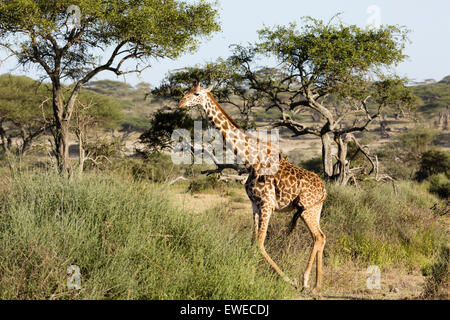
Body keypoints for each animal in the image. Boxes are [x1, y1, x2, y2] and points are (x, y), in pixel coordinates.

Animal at [178, 83, 326, 292]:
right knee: (321, 236)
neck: (250, 160)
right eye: (187, 91)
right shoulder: (255, 204)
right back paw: (316, 284)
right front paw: (250, 278)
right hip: (314, 209)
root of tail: (324, 189)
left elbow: (260, 243)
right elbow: (253, 242)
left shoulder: (267, 204)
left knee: (318, 237)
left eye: (196, 93)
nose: (180, 103)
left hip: (307, 210)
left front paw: (288, 280)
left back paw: (306, 281)